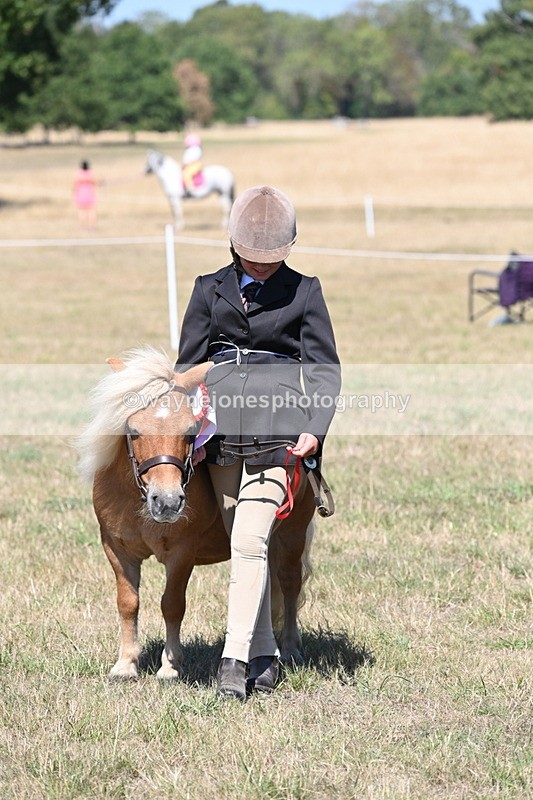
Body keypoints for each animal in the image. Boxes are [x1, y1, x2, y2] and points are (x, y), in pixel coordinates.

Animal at [76, 346, 315, 683]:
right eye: (133, 431)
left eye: (190, 431)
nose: (167, 501)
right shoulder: (117, 550)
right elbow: (128, 603)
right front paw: (125, 665)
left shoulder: (181, 552)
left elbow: (172, 604)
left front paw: (170, 666)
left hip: (294, 532)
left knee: (291, 582)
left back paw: (291, 649)